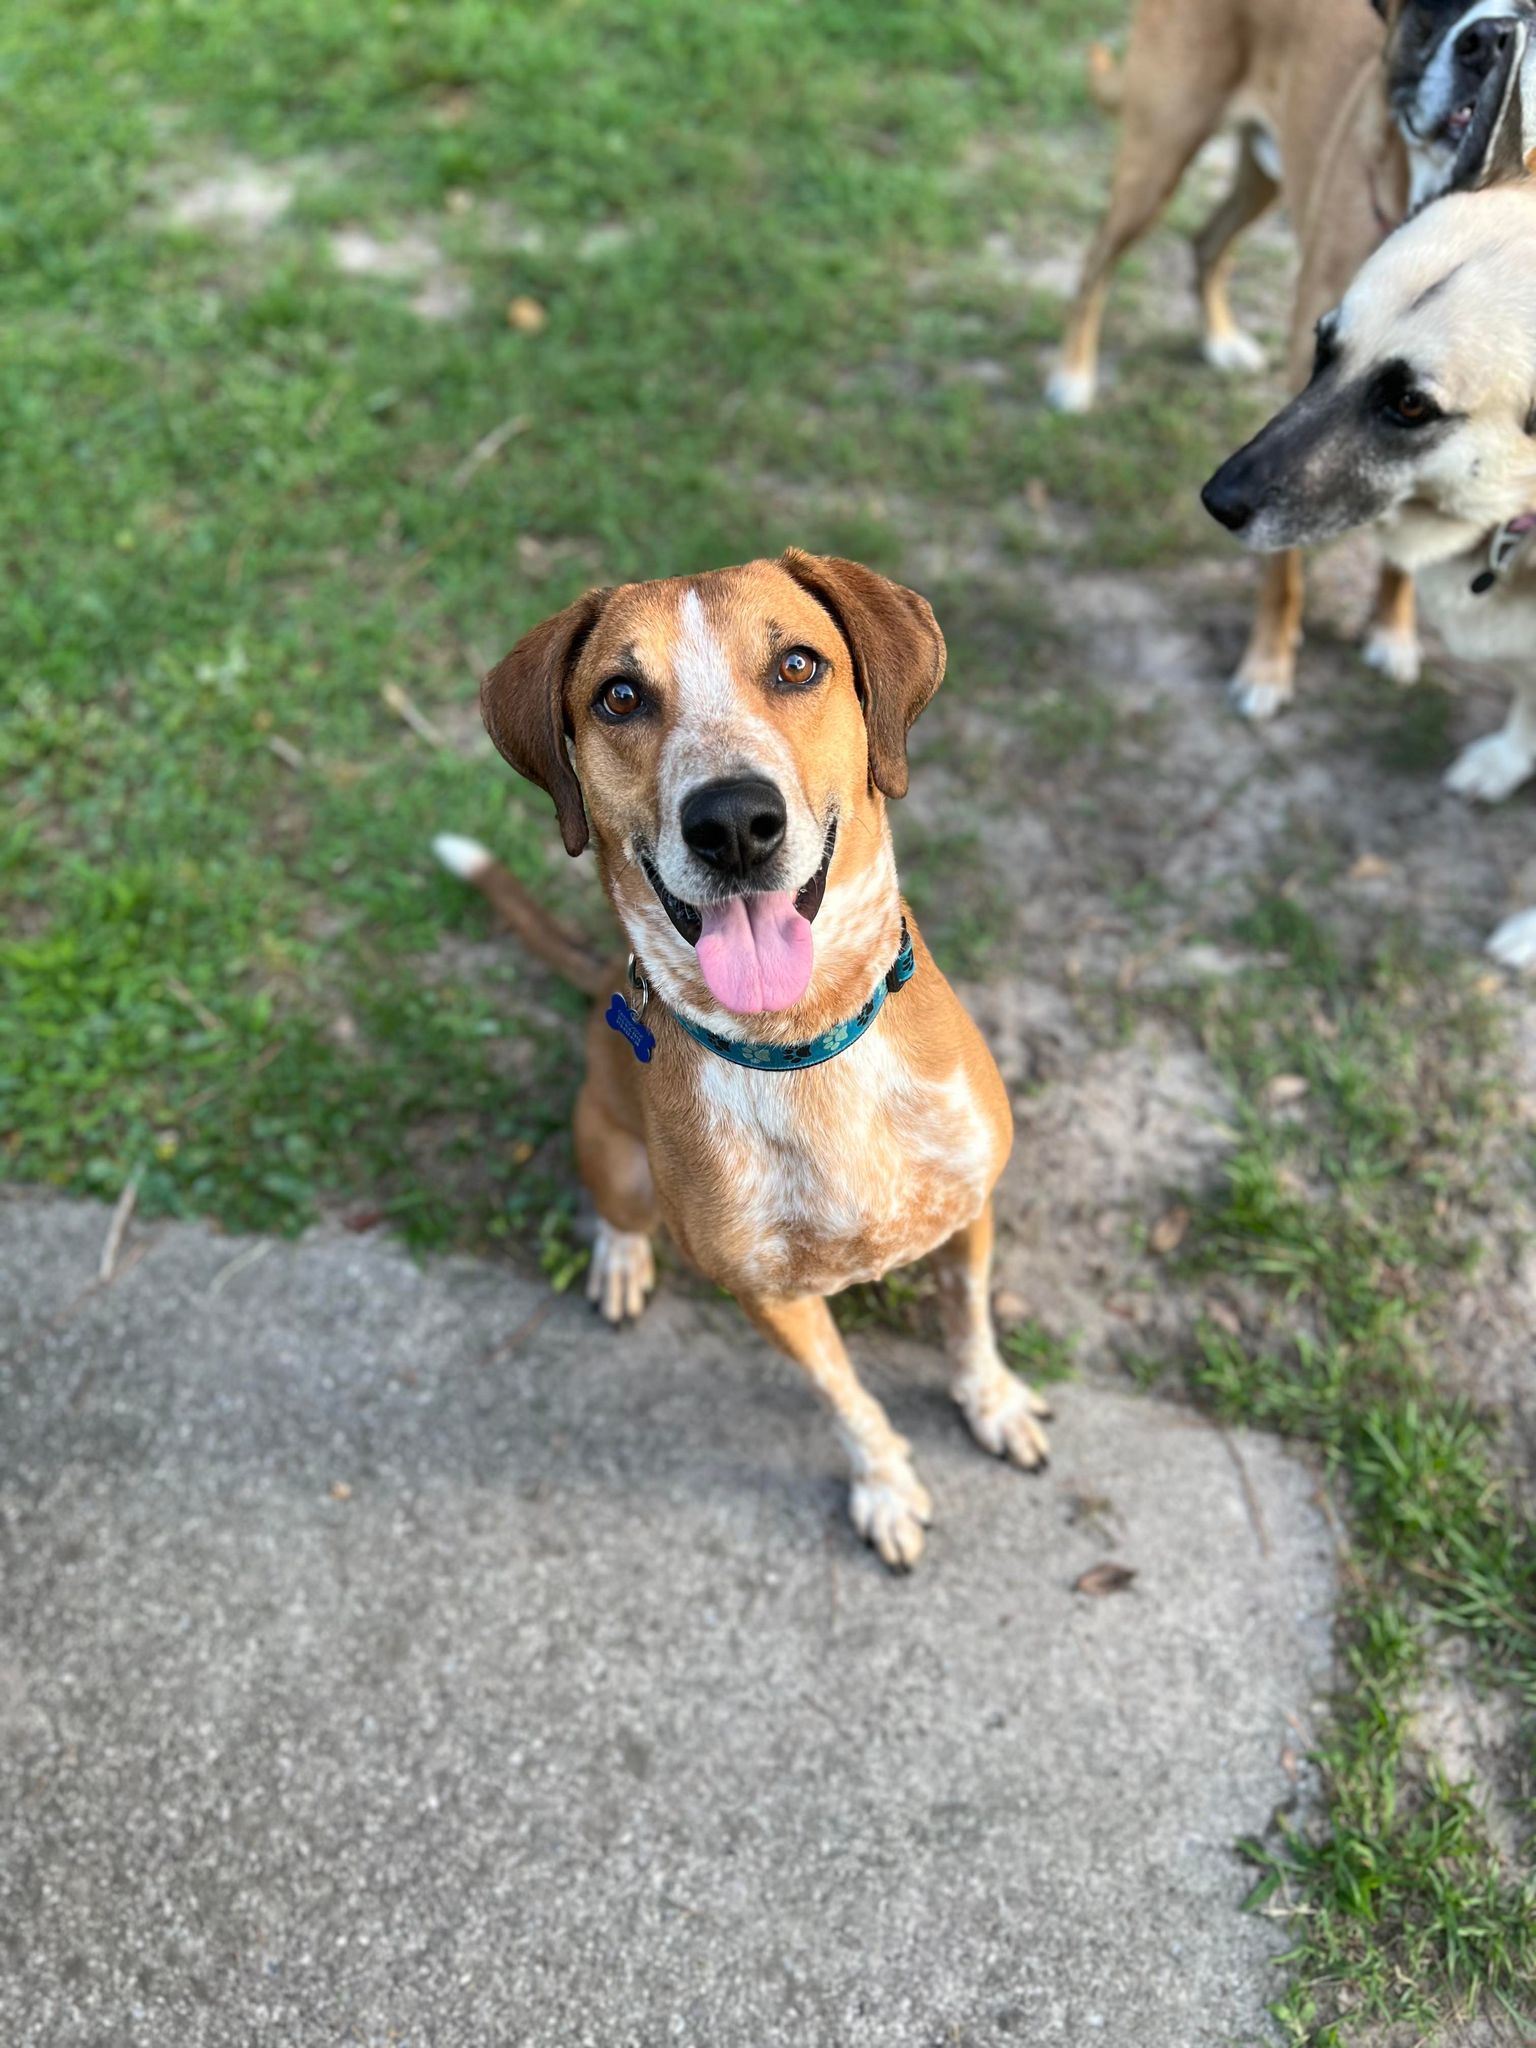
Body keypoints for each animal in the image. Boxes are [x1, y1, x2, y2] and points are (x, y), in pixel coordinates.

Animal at [438, 548, 1056, 1564]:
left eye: (798, 665)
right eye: (618, 696)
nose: (732, 822)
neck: (803, 1041)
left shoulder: (970, 1208)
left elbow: (970, 1327)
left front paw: (994, 1404)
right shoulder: (768, 1295)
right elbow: (847, 1399)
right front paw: (885, 1486)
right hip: (614, 1153)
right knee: (618, 1207)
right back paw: (620, 1257)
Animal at [1048, 0, 1515, 720]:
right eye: (1431, 10)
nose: (1492, 39)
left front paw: (1391, 629)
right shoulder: (1313, 393)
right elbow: (1283, 562)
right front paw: (1266, 667)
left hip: (1257, 178)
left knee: (1206, 241)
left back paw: (1219, 338)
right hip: (1158, 156)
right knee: (1097, 262)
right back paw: (1073, 374)